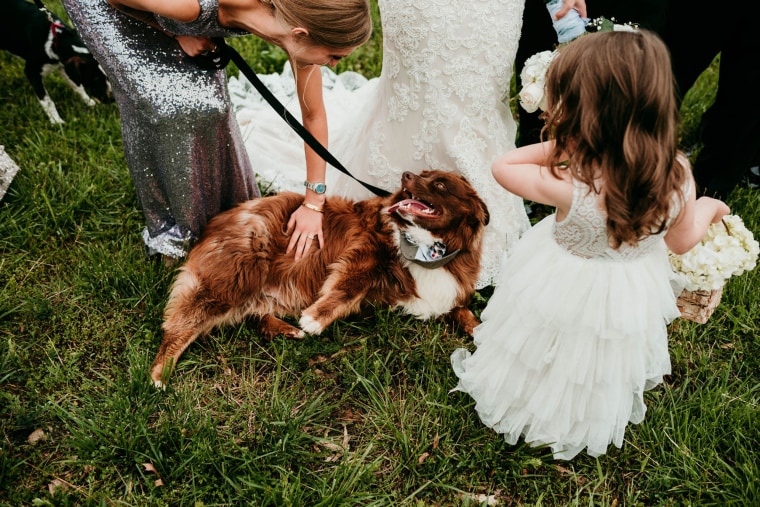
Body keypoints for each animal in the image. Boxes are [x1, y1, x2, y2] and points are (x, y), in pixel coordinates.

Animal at [151, 169, 490, 386]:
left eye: (441, 185)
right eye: (422, 173)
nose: (406, 174)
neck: (430, 250)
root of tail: (213, 224)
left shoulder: (450, 293)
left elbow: (467, 314)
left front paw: (484, 335)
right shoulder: (365, 251)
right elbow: (348, 286)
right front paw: (315, 319)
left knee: (254, 315)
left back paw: (286, 330)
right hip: (235, 277)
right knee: (180, 325)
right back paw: (159, 374)